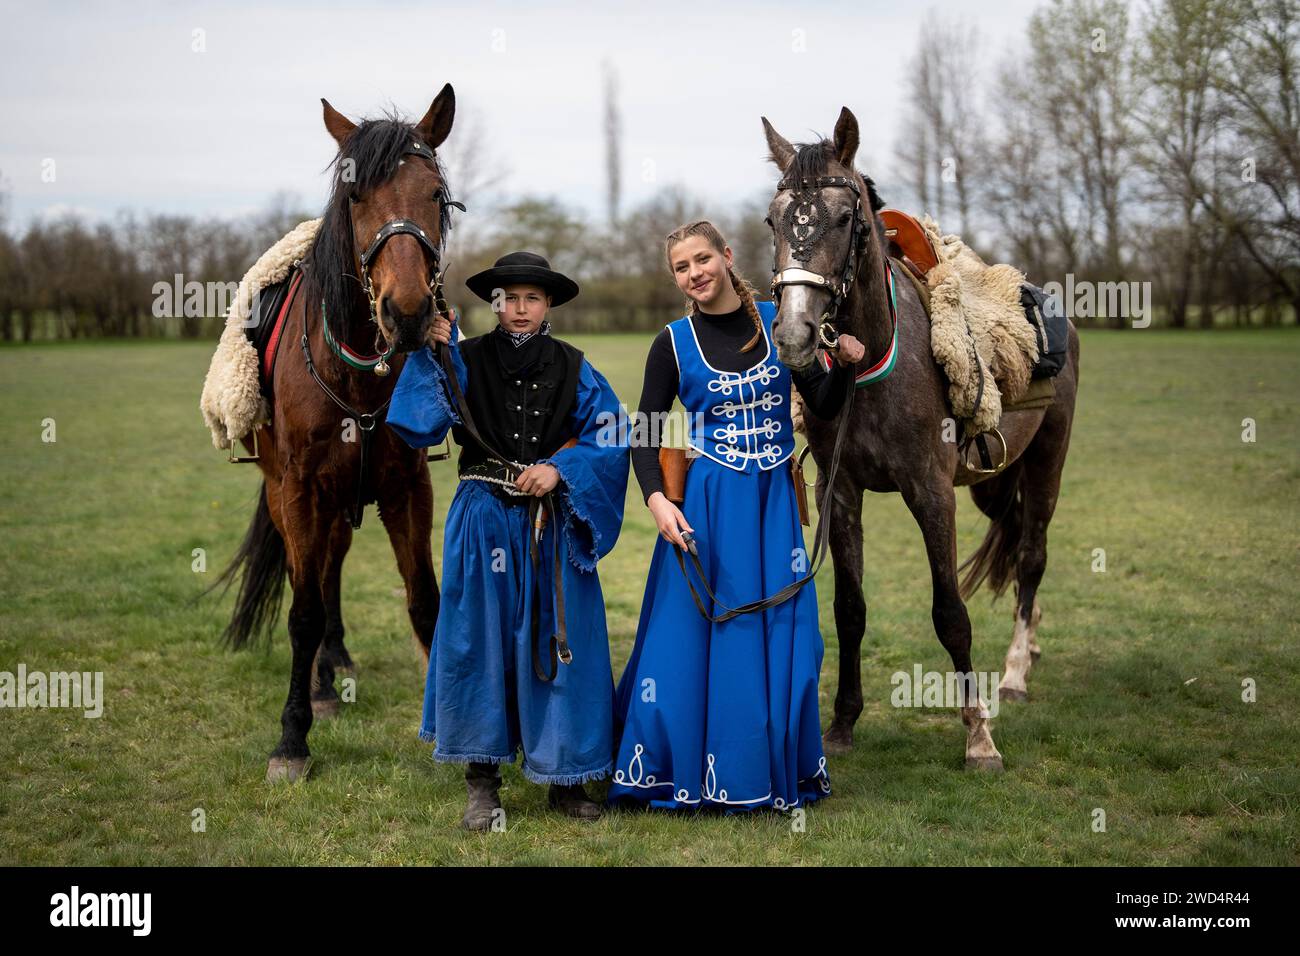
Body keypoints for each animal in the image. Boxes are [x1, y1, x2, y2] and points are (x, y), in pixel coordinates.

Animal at [210, 85, 460, 780]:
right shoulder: (299, 491)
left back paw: (335, 661)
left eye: (435, 193)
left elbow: (424, 599)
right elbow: (302, 612)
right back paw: (320, 682)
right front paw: (292, 737)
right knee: (315, 578)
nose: (407, 312)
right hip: (293, 494)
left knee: (332, 566)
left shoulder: (408, 489)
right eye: (354, 196)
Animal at [764, 108, 1081, 775]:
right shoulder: (841, 493)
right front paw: (842, 724)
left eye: (844, 218)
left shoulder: (931, 491)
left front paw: (979, 736)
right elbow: (849, 610)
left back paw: (1015, 670)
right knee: (1015, 539)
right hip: (992, 478)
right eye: (773, 220)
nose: (795, 332)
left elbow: (950, 614)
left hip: (1048, 459)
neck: (871, 365)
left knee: (1032, 555)